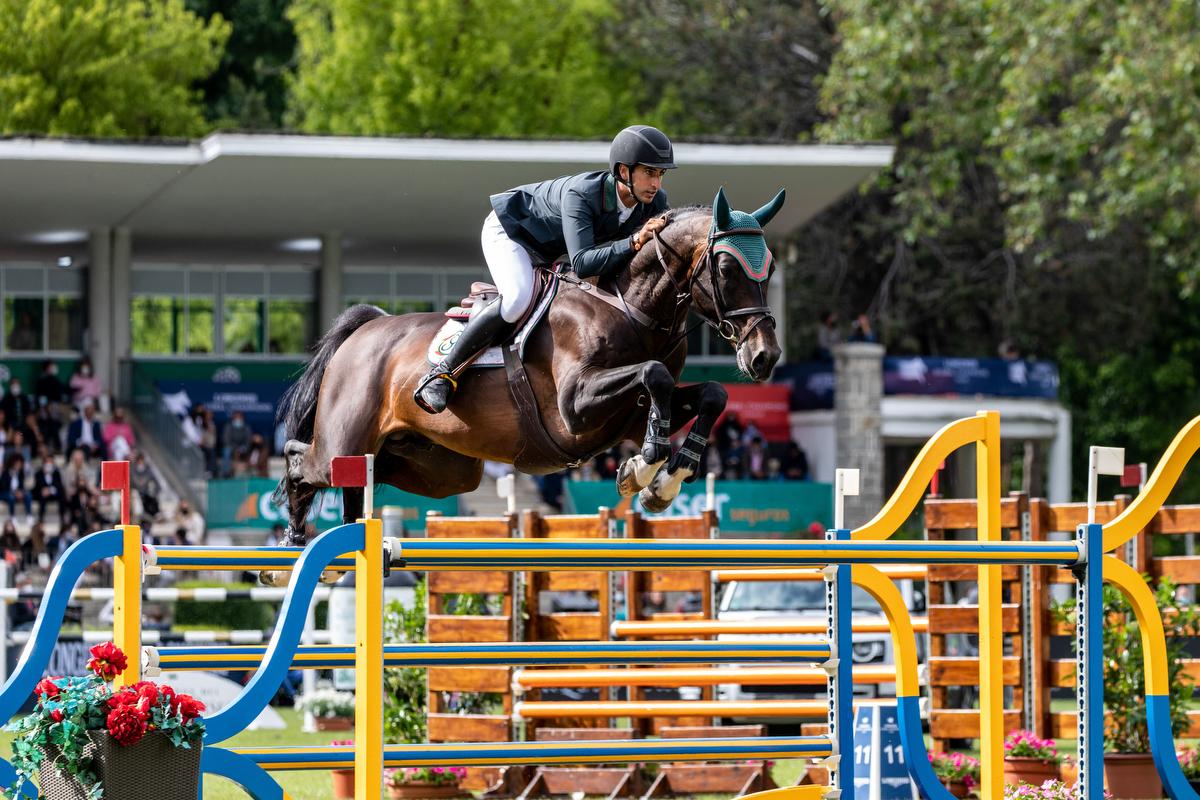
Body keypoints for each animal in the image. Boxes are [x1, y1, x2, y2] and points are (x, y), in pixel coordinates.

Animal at [266, 187, 782, 578]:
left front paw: (665, 479)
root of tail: (368, 326)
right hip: (344, 440)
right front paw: (644, 467)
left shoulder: (631, 417)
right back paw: (290, 545)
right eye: (727, 268)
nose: (765, 356)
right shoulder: (577, 406)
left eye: (771, 268)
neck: (630, 306)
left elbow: (710, 394)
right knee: (301, 460)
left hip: (439, 468)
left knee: (365, 476)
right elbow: (652, 374)